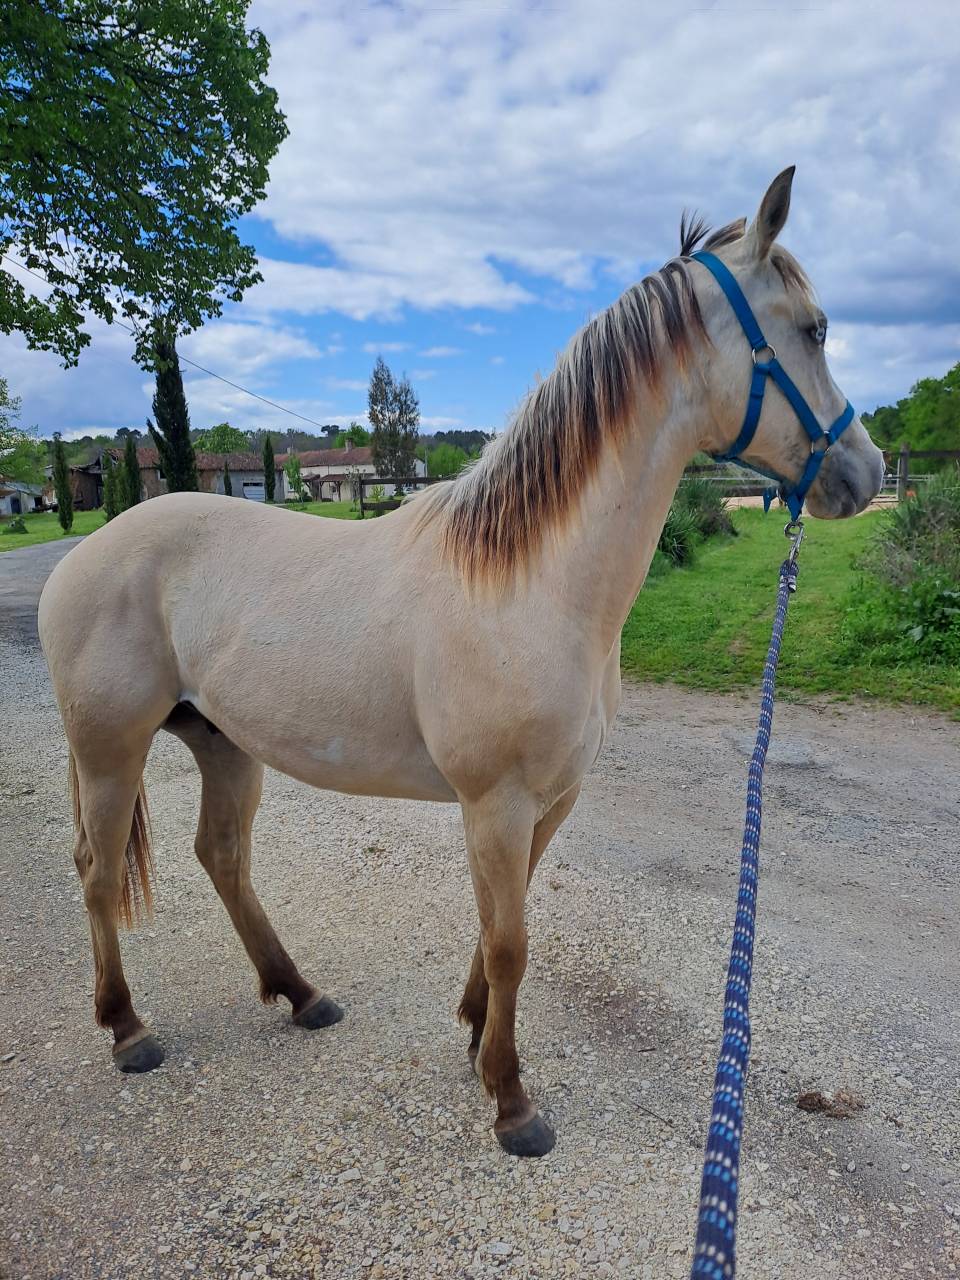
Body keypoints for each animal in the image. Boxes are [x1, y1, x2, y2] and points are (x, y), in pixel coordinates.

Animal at [38, 168, 884, 1158]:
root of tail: (84, 555)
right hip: (111, 748)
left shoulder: (550, 800)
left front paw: (478, 1033)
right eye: (814, 328)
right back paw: (128, 1029)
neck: (532, 581)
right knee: (99, 871)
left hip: (222, 743)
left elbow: (500, 928)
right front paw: (512, 1101)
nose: (865, 473)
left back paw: (300, 993)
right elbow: (511, 940)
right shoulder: (497, 803)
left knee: (223, 857)